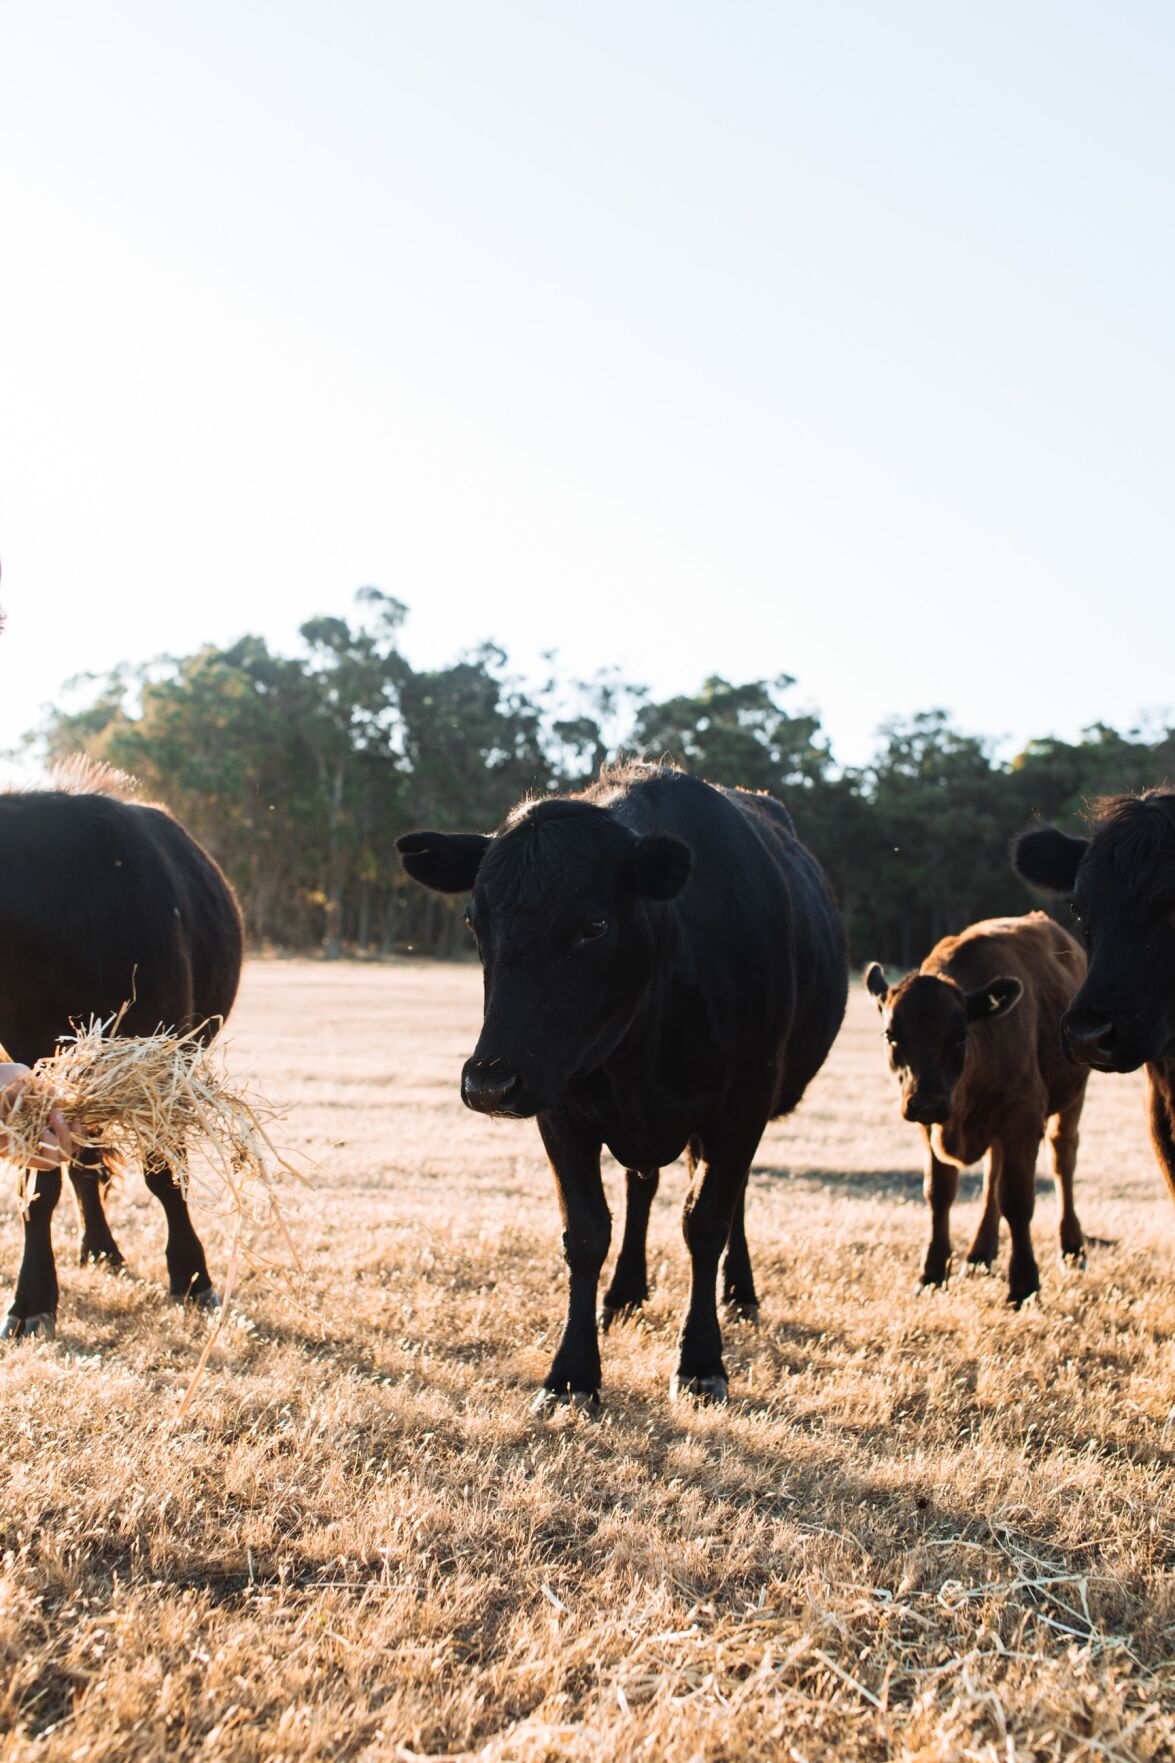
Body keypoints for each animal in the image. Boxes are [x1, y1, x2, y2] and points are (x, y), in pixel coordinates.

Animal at [0, 772, 241, 1332]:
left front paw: (192, 1275)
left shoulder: (161, 1060)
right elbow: (41, 1186)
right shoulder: (34, 1066)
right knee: (84, 1166)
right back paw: (100, 1247)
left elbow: (164, 1173)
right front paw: (32, 1298)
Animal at [398, 765, 846, 1410]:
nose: (487, 1082)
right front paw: (571, 1374)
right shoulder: (559, 1107)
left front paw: (700, 1361)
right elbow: (587, 1233)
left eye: (594, 926)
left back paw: (739, 1293)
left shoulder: (743, 1104)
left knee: (724, 1200)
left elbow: (705, 1222)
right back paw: (626, 1292)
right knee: (643, 1186)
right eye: (474, 922)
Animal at [864, 916, 1086, 1304]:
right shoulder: (931, 1126)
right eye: (891, 1035)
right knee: (991, 1175)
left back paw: (1072, 1248)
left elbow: (1017, 1198)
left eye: (960, 1036)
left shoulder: (1022, 1118)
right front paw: (931, 1274)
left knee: (1063, 1160)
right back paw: (980, 1254)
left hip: (1072, 1098)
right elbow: (939, 1193)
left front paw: (1024, 1285)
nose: (927, 1102)